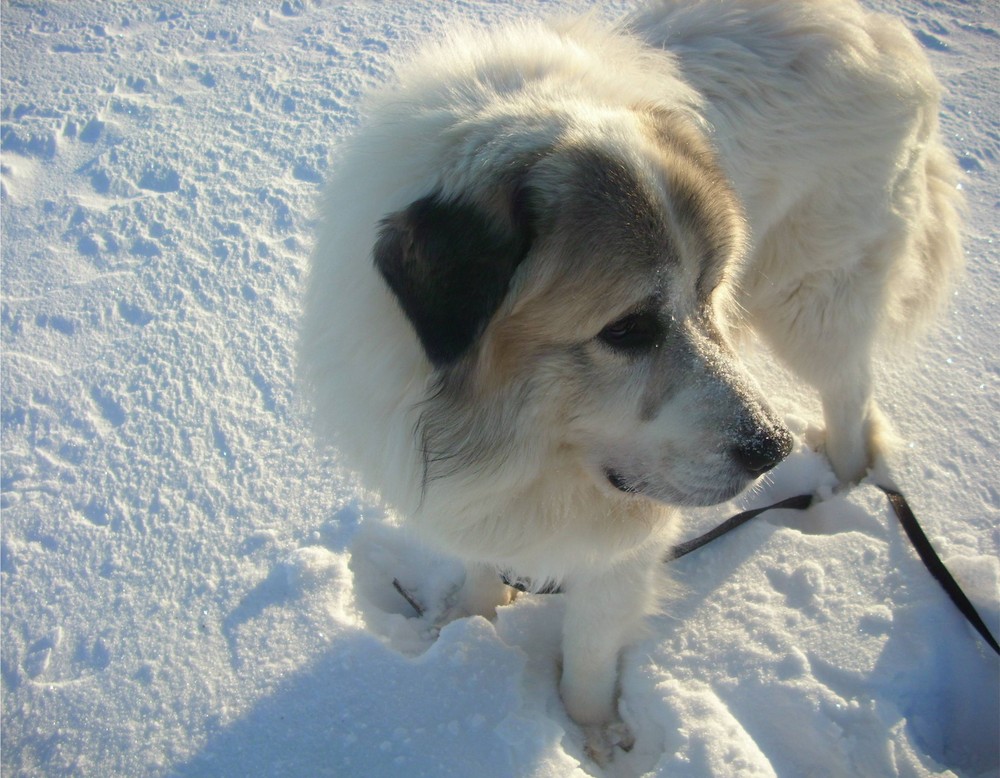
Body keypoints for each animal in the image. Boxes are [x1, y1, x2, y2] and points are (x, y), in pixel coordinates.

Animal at [296, 0, 960, 756]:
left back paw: (839, 489)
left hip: (813, 303)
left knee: (851, 396)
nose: (771, 448)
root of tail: (878, 24)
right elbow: (480, 565)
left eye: (708, 295)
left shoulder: (622, 546)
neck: (516, 432)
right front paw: (468, 624)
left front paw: (592, 740)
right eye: (628, 329)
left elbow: (587, 653)